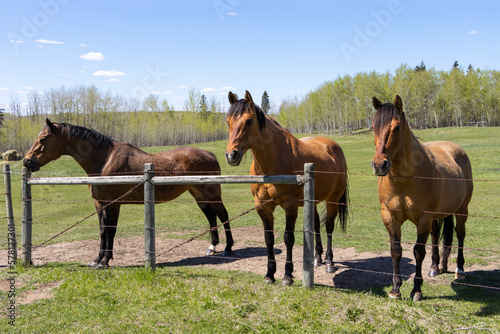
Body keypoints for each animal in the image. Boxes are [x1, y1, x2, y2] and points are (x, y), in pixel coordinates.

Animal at [23, 118, 234, 268]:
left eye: (42, 139)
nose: (27, 161)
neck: (104, 160)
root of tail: (209, 154)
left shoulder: (113, 204)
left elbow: (110, 230)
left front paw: (105, 261)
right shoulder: (99, 204)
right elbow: (102, 230)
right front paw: (96, 259)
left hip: (213, 194)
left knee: (223, 215)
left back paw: (228, 248)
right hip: (198, 194)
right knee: (211, 216)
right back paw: (212, 247)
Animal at [225, 90, 346, 284]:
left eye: (249, 120)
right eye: (228, 121)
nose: (231, 155)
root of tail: (333, 146)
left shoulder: (290, 206)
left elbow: (288, 238)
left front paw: (287, 275)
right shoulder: (263, 207)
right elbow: (269, 238)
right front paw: (269, 274)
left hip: (333, 200)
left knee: (329, 227)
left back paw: (329, 261)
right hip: (312, 200)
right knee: (316, 226)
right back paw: (317, 258)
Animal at [372, 95, 472, 302]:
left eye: (397, 127)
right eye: (372, 127)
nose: (379, 165)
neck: (405, 179)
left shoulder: (423, 218)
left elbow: (418, 252)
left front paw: (416, 290)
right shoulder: (389, 216)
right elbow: (396, 251)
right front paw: (395, 289)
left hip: (461, 210)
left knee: (460, 234)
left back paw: (459, 270)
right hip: (437, 216)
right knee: (435, 235)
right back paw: (435, 267)